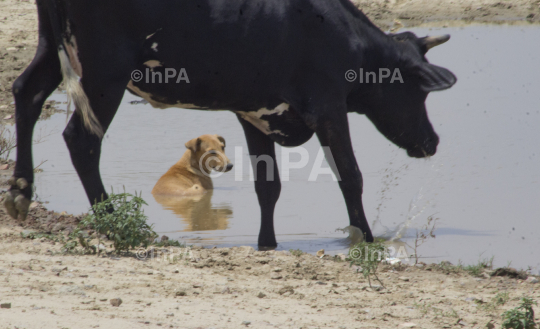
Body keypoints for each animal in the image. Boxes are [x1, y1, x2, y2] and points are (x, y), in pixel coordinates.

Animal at [4, 0, 456, 246]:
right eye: (420, 91)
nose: (432, 141)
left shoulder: (255, 113)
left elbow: (267, 186)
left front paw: (266, 244)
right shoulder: (328, 108)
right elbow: (350, 175)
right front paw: (364, 237)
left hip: (50, 48)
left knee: (25, 92)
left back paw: (20, 192)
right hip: (104, 74)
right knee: (82, 139)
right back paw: (111, 219)